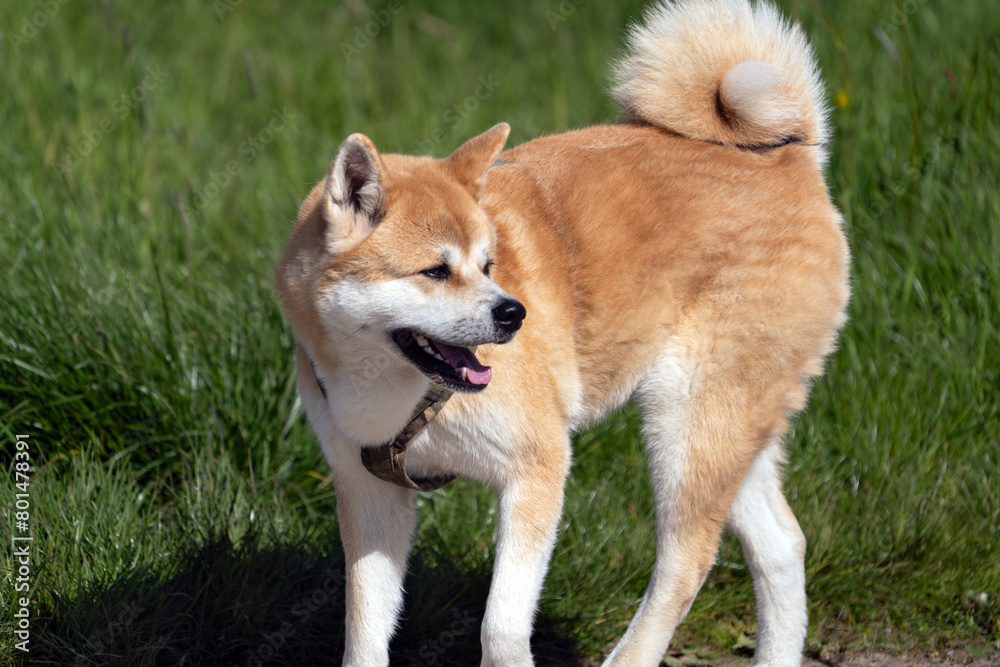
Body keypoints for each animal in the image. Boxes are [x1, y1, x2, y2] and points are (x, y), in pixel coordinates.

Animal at [278, 1, 848, 667]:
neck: (398, 395)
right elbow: (365, 634)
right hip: (731, 429)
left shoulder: (538, 468)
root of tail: (788, 153)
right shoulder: (370, 493)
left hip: (685, 422)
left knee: (685, 565)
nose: (513, 313)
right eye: (435, 271)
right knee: (782, 546)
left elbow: (501, 628)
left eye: (488, 264)